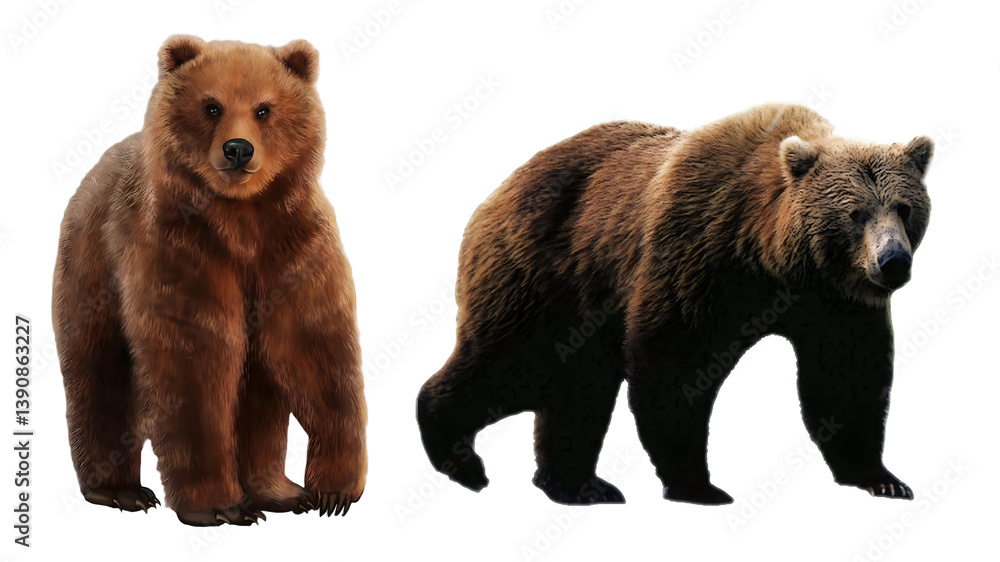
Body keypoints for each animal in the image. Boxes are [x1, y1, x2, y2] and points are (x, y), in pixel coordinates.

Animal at [52, 35, 367, 525]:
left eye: (263, 108)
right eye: (212, 106)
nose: (238, 149)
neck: (241, 219)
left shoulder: (295, 246)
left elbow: (316, 349)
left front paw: (332, 492)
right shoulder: (179, 249)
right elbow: (196, 365)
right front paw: (219, 506)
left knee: (259, 392)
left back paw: (276, 491)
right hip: (91, 270)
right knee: (100, 374)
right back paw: (121, 490)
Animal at [416, 103, 933, 506]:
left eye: (904, 207)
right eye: (855, 212)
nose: (893, 262)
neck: (773, 258)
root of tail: (499, 188)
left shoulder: (833, 303)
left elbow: (846, 379)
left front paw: (882, 479)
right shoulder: (699, 254)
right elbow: (675, 365)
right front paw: (698, 484)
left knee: (577, 388)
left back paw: (577, 484)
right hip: (545, 272)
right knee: (513, 363)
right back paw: (461, 457)